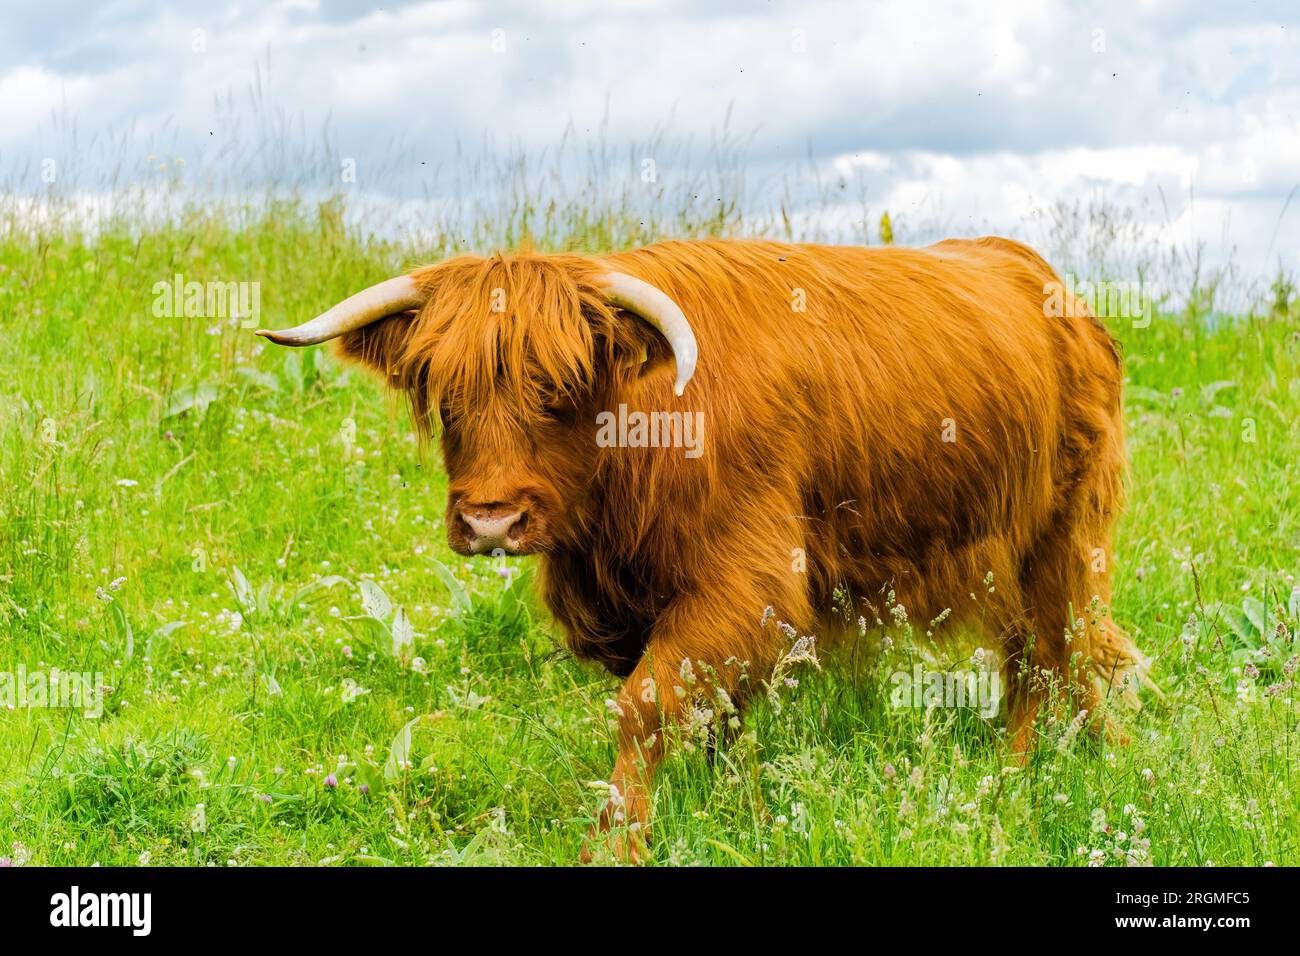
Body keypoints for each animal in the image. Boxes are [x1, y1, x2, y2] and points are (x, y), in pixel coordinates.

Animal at [257, 236, 1148, 861]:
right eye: (443, 392)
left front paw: (617, 842)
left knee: (1055, 648)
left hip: (1061, 533)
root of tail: (1038, 274)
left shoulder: (751, 581)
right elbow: (703, 710)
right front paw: (723, 803)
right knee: (1052, 651)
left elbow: (645, 705)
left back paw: (1039, 771)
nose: (490, 522)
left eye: (560, 387)